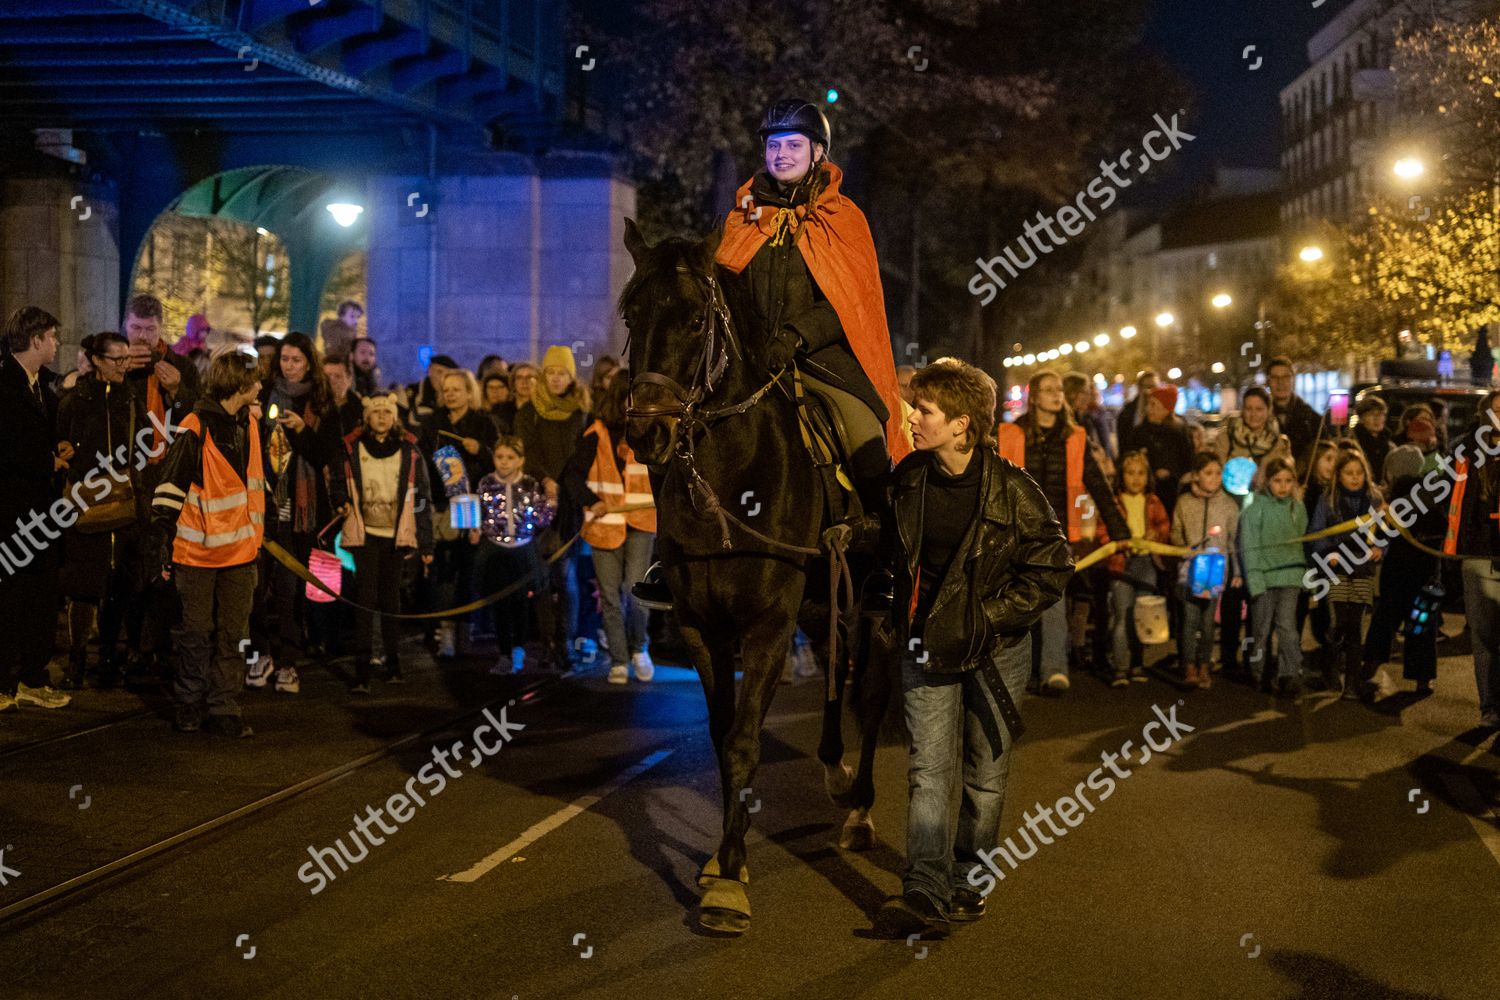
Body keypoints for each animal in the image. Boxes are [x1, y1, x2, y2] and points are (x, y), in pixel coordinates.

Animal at [618, 223, 888, 935]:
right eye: (631, 314)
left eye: (694, 318)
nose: (647, 431)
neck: (733, 479)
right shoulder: (701, 626)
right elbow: (720, 738)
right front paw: (722, 859)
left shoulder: (767, 624)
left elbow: (742, 742)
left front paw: (728, 886)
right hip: (825, 603)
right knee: (837, 675)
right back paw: (833, 770)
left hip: (879, 609)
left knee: (873, 693)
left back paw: (859, 806)